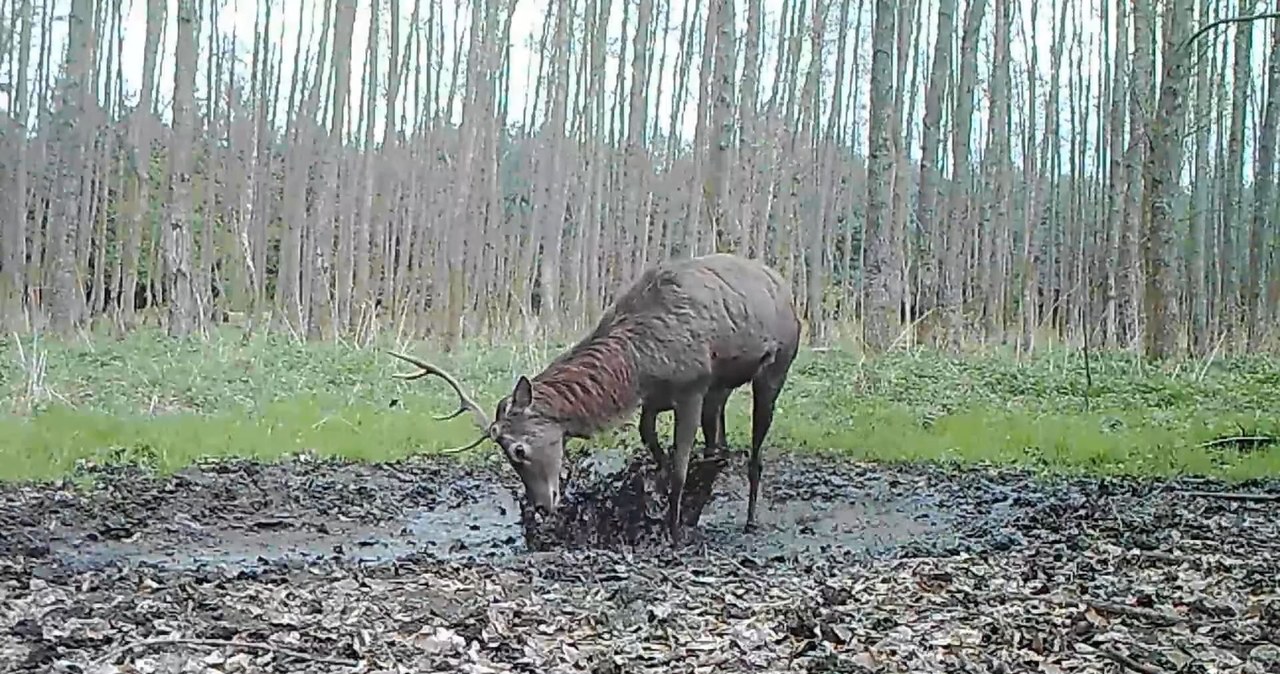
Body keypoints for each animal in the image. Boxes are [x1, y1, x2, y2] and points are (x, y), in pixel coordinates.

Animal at [384, 253, 798, 542]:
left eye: (518, 449)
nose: (541, 505)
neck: (637, 363)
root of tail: (786, 288)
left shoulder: (693, 386)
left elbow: (682, 466)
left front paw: (673, 529)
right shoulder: (656, 397)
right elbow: (651, 439)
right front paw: (659, 490)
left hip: (774, 369)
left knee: (755, 451)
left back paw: (749, 519)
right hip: (723, 388)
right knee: (721, 445)